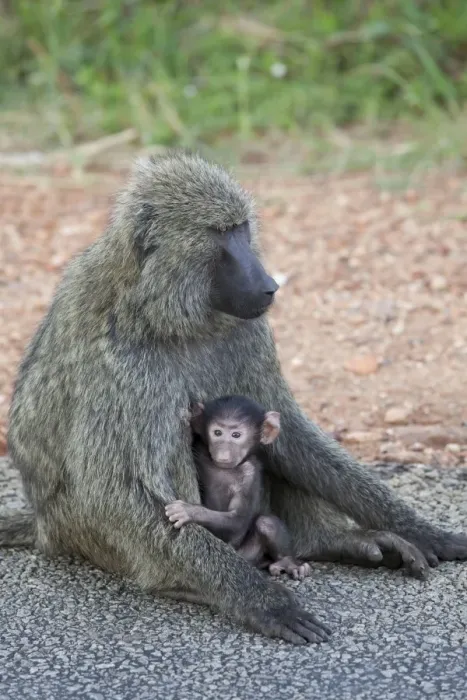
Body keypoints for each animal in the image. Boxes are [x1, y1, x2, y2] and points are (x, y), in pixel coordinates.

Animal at [166, 396, 311, 580]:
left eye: (236, 435)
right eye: (217, 433)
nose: (223, 454)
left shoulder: (250, 475)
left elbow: (237, 520)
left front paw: (188, 511)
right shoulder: (200, 451)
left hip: (246, 555)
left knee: (267, 522)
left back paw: (288, 562)